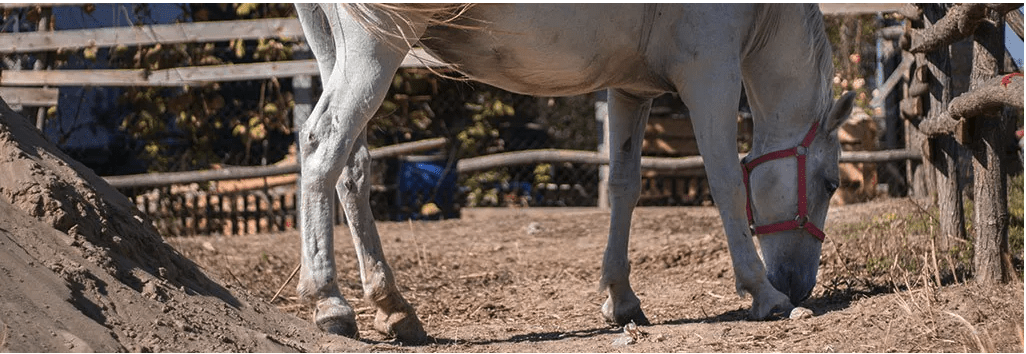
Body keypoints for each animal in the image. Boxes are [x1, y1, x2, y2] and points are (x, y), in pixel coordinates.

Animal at [293, 3, 853, 342]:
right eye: (831, 184)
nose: (800, 285)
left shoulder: (631, 90)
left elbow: (624, 186)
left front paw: (622, 300)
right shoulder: (710, 76)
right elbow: (726, 182)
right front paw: (764, 293)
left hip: (335, 47)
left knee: (351, 167)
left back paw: (393, 307)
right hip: (375, 48)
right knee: (322, 146)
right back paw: (329, 302)